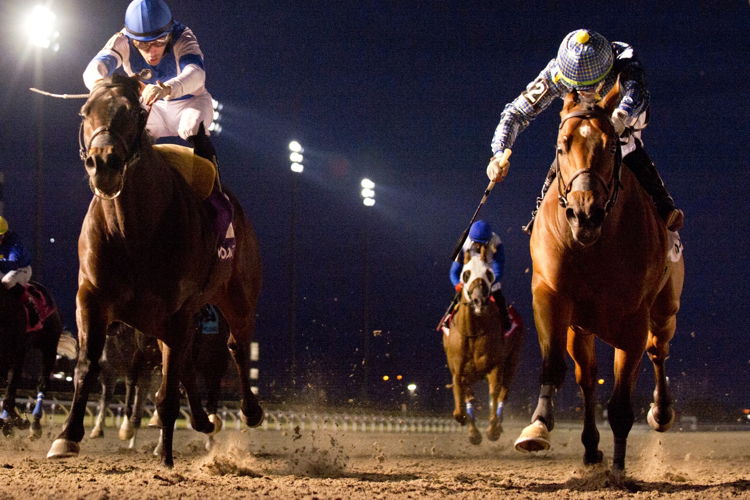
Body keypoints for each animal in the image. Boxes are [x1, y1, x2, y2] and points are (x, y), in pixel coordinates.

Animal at [0, 282, 75, 438]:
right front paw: (9, 422)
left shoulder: (17, 355)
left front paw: (15, 422)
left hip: (49, 347)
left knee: (42, 384)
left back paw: (35, 426)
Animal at [47, 75, 264, 468]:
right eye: (85, 112)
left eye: (134, 112)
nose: (104, 163)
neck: (131, 231)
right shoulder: (92, 298)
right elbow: (88, 365)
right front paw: (67, 437)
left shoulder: (176, 312)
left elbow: (167, 388)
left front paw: (165, 455)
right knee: (187, 368)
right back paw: (202, 421)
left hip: (237, 296)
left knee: (236, 347)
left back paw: (248, 411)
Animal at [444, 246, 524, 446]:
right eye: (466, 274)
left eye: (488, 273)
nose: (479, 300)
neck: (472, 332)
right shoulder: (459, 369)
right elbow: (463, 397)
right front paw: (472, 431)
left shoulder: (495, 366)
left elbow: (494, 394)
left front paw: (492, 429)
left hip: (513, 361)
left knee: (504, 392)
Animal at [516, 83, 688, 472]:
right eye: (562, 145)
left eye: (611, 146)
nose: (585, 214)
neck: (593, 247)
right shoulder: (550, 295)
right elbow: (555, 365)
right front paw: (538, 427)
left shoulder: (633, 321)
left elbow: (622, 405)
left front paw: (620, 471)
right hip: (580, 330)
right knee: (588, 379)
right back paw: (591, 448)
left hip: (665, 312)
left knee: (658, 351)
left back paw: (661, 413)